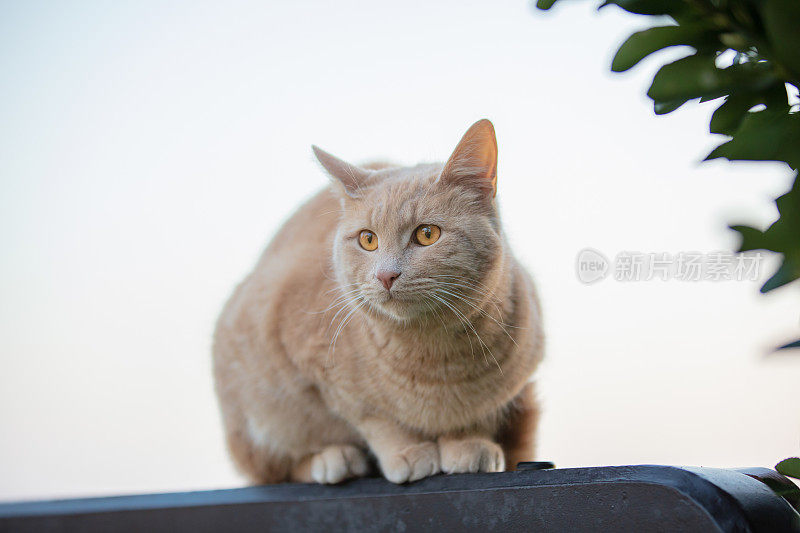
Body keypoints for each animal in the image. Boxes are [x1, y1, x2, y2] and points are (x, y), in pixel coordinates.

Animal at [212, 118, 544, 484]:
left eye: (427, 234)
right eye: (368, 239)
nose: (386, 275)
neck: (436, 358)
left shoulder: (508, 388)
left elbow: (477, 414)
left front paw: (468, 442)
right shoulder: (325, 376)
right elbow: (376, 420)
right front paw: (408, 451)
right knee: (280, 466)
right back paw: (332, 460)